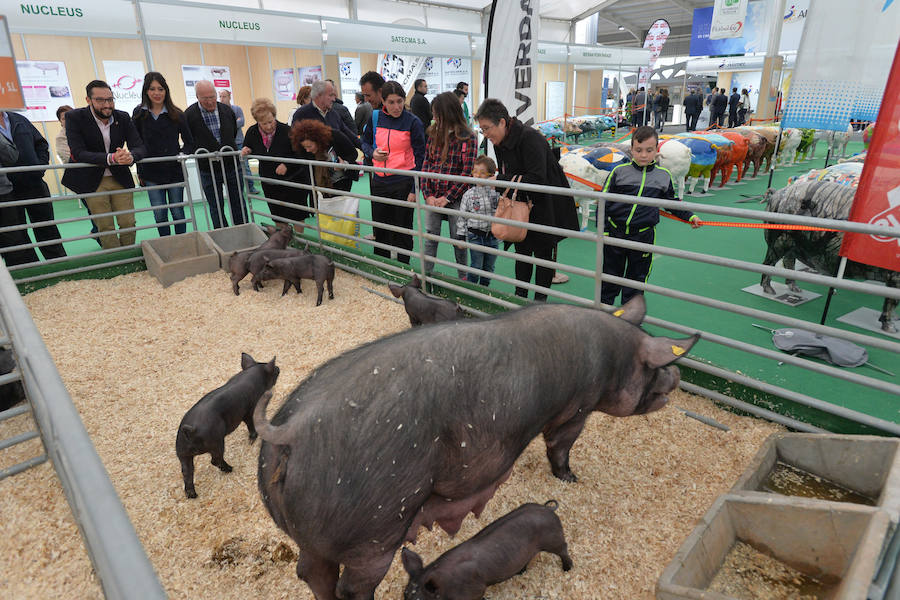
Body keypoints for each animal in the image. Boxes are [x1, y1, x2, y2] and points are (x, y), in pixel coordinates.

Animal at [253, 296, 696, 600]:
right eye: (653, 367)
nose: (674, 377)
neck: (610, 356)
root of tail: (289, 429)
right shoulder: (577, 408)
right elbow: (560, 444)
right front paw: (571, 478)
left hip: (311, 536)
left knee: (310, 574)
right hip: (375, 528)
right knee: (352, 587)